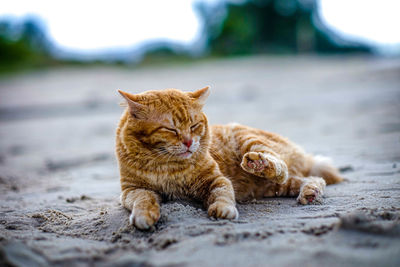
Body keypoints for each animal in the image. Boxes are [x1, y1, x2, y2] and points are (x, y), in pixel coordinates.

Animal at [116, 87, 344, 230]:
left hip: (250, 142)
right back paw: (310, 193)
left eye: (194, 126)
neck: (167, 167)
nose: (189, 142)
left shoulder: (215, 179)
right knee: (312, 179)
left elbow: (222, 194)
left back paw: (260, 164)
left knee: (281, 166)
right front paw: (145, 216)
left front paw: (224, 210)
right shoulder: (132, 190)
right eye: (170, 129)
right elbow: (144, 200)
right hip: (273, 188)